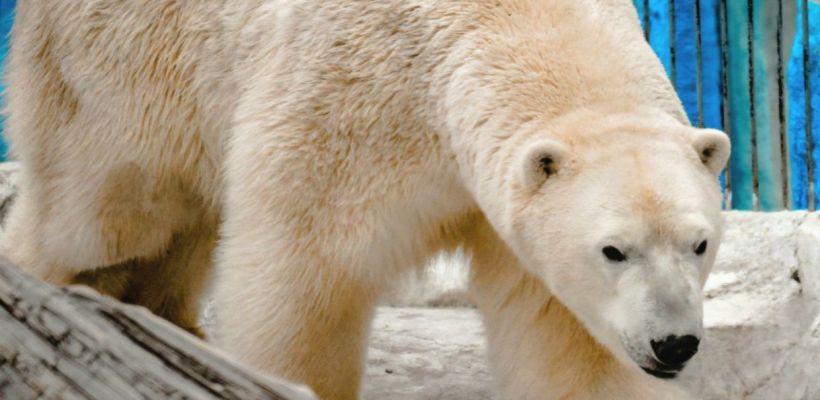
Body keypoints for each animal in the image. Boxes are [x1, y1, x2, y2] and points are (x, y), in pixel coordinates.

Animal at [1, 1, 729, 399]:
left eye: (699, 243)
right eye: (614, 250)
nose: (674, 345)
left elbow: (566, 334)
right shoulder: (353, 109)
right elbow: (306, 276)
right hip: (125, 71)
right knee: (101, 217)